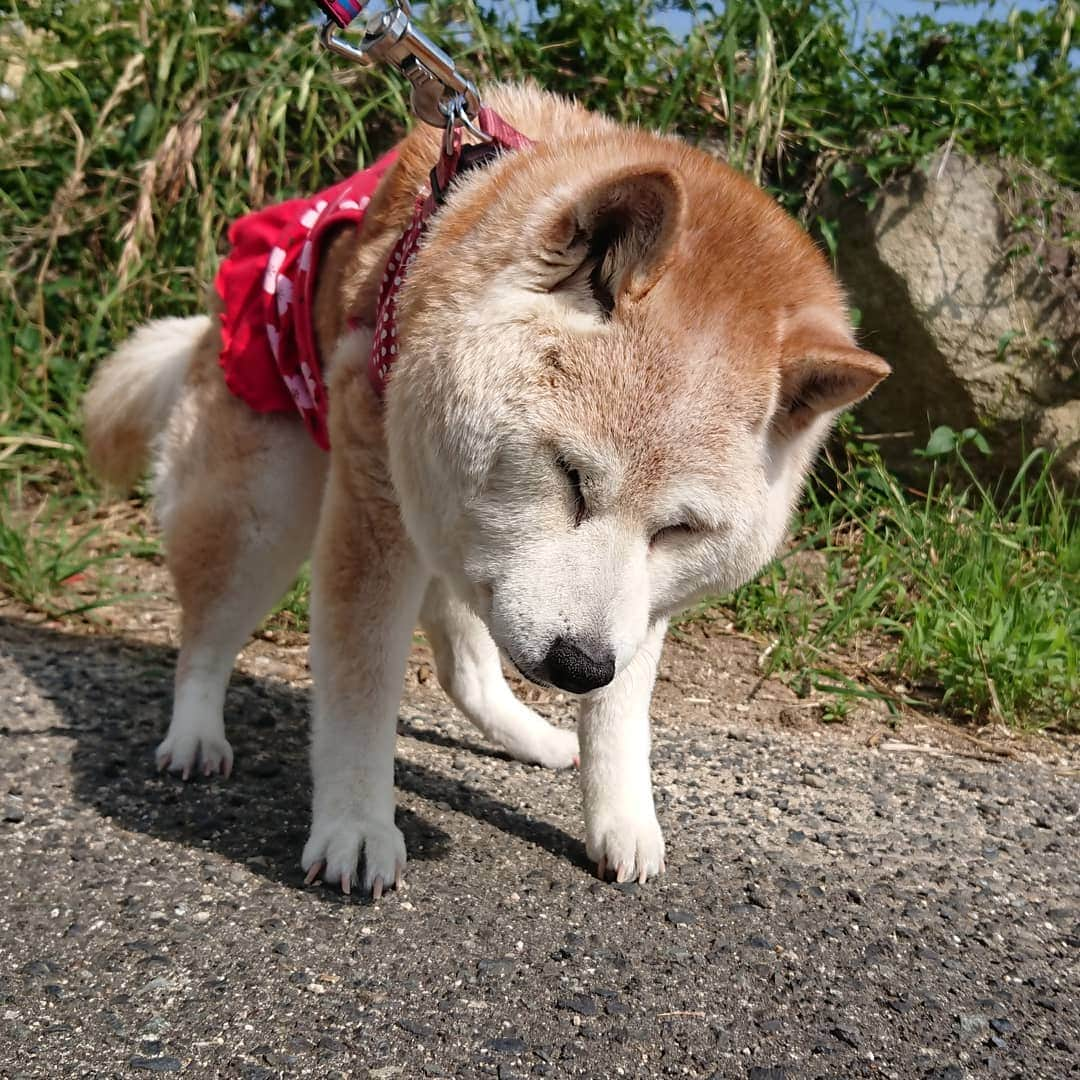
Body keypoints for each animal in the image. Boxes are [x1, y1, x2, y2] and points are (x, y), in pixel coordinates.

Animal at [84, 82, 885, 894]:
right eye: (571, 477)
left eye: (679, 530)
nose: (578, 667)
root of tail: (210, 322)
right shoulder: (374, 505)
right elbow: (360, 686)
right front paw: (356, 824)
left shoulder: (636, 605)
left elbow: (620, 714)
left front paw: (623, 817)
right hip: (266, 513)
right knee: (206, 638)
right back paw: (194, 734)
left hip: (451, 537)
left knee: (464, 668)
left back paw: (531, 736)